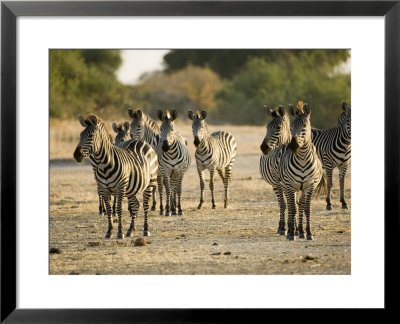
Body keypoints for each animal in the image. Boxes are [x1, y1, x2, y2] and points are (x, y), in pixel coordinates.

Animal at [258, 105, 292, 234]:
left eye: (278, 127)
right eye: (266, 127)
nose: (263, 147)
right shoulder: (278, 183)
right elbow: (283, 204)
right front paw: (283, 227)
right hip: (275, 185)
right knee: (282, 203)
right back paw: (281, 226)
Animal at [280, 102, 326, 242]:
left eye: (304, 126)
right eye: (291, 127)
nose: (293, 145)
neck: (302, 160)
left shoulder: (310, 185)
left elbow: (306, 208)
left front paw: (308, 232)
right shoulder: (290, 186)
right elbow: (292, 209)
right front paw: (290, 233)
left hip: (302, 188)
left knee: (300, 204)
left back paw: (300, 231)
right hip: (287, 186)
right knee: (291, 206)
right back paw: (292, 230)